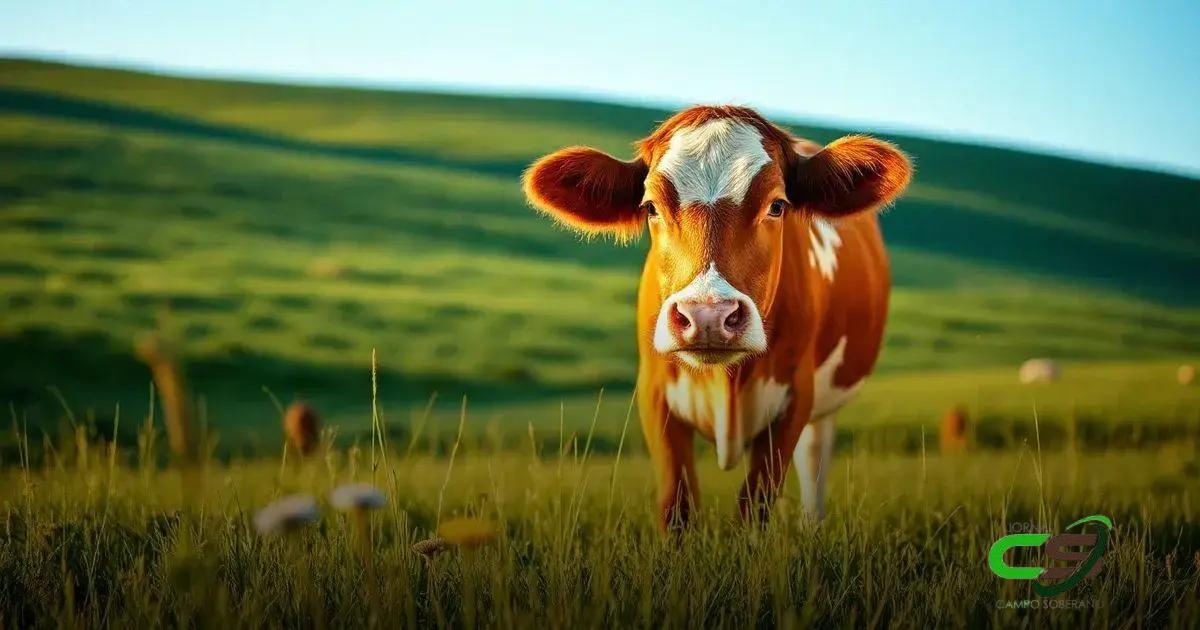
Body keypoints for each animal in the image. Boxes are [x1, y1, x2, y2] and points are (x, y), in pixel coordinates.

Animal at [523, 105, 911, 531]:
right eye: (651, 207)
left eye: (777, 205)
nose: (707, 315)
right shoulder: (655, 394)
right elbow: (677, 504)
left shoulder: (795, 397)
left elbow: (755, 503)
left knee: (813, 464)